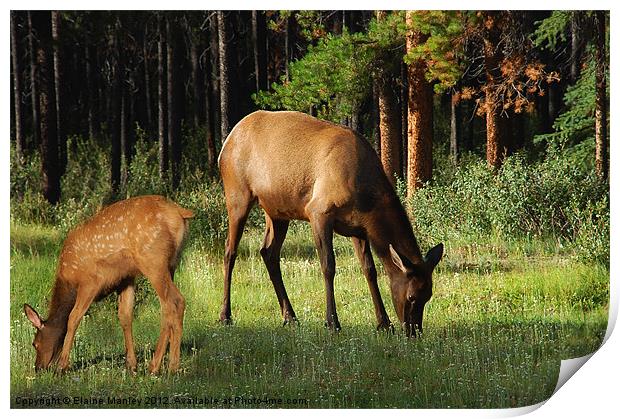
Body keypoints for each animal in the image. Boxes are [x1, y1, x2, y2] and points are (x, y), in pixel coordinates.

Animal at [23, 196, 194, 374]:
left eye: (35, 344)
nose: (38, 367)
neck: (69, 280)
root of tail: (180, 212)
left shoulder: (90, 281)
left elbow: (73, 318)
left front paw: (62, 366)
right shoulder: (125, 279)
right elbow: (125, 316)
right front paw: (131, 364)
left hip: (153, 260)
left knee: (173, 302)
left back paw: (161, 366)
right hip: (171, 264)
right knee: (173, 305)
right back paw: (166, 365)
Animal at [218, 111, 440, 338]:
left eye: (429, 295)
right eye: (412, 296)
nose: (414, 332)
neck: (367, 202)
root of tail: (227, 143)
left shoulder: (359, 228)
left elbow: (369, 269)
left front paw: (384, 323)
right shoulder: (318, 212)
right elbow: (328, 266)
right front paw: (332, 322)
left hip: (277, 211)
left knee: (268, 252)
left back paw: (290, 316)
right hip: (237, 196)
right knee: (229, 251)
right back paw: (225, 315)